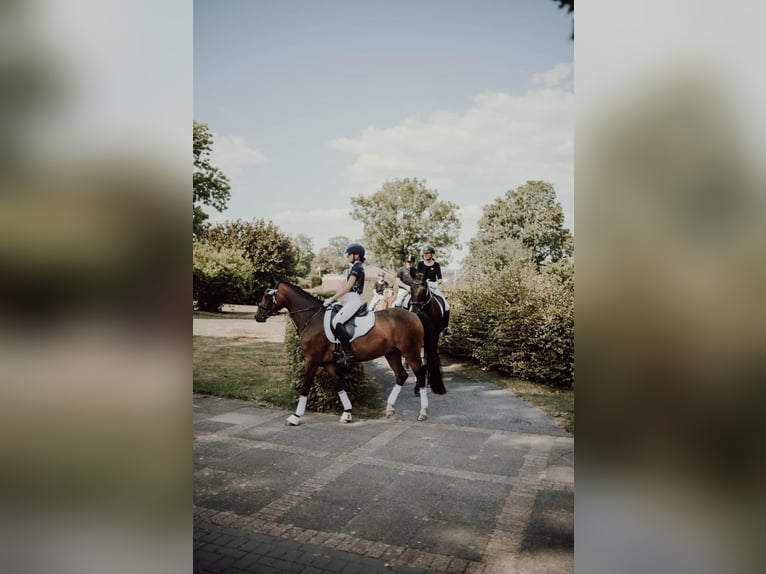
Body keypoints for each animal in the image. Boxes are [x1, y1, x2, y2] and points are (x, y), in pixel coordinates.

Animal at [254, 282, 444, 426]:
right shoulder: (328, 363)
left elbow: (305, 386)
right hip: (392, 353)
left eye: (266, 296)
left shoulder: (311, 361)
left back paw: (423, 412)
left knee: (420, 375)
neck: (312, 318)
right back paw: (390, 409)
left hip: (410, 353)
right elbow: (339, 384)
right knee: (401, 375)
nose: (257, 316)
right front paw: (347, 413)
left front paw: (295, 417)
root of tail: (415, 315)